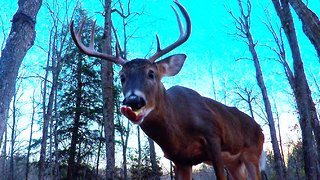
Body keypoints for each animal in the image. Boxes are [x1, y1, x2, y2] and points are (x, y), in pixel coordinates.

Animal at [70, 1, 264, 179]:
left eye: (151, 73)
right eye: (122, 77)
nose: (133, 101)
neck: (179, 131)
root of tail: (260, 128)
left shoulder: (213, 137)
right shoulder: (180, 159)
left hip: (252, 153)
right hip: (235, 163)